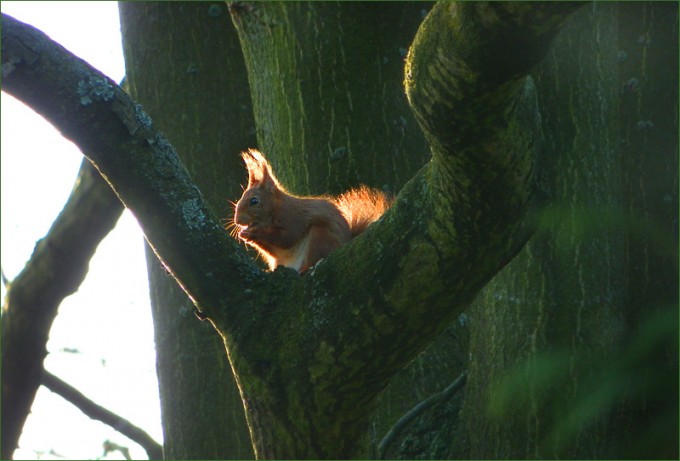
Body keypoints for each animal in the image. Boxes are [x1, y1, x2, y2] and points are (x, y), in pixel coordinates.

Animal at [231, 149, 393, 273]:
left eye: (254, 201)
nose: (237, 221)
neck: (274, 211)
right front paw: (245, 234)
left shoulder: (292, 217)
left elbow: (287, 237)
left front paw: (254, 233)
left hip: (319, 237)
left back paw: (304, 268)